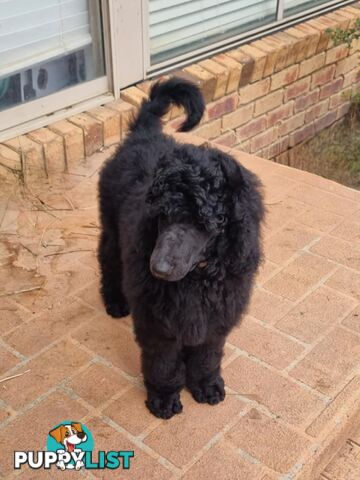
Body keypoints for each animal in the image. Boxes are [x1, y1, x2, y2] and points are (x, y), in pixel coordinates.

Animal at [98, 77, 264, 418]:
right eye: (161, 216)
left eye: (202, 222)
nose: (158, 269)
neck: (198, 278)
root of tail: (144, 135)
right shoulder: (157, 320)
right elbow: (163, 364)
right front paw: (163, 397)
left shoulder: (215, 318)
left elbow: (207, 355)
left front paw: (206, 385)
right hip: (111, 229)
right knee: (107, 260)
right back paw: (115, 301)